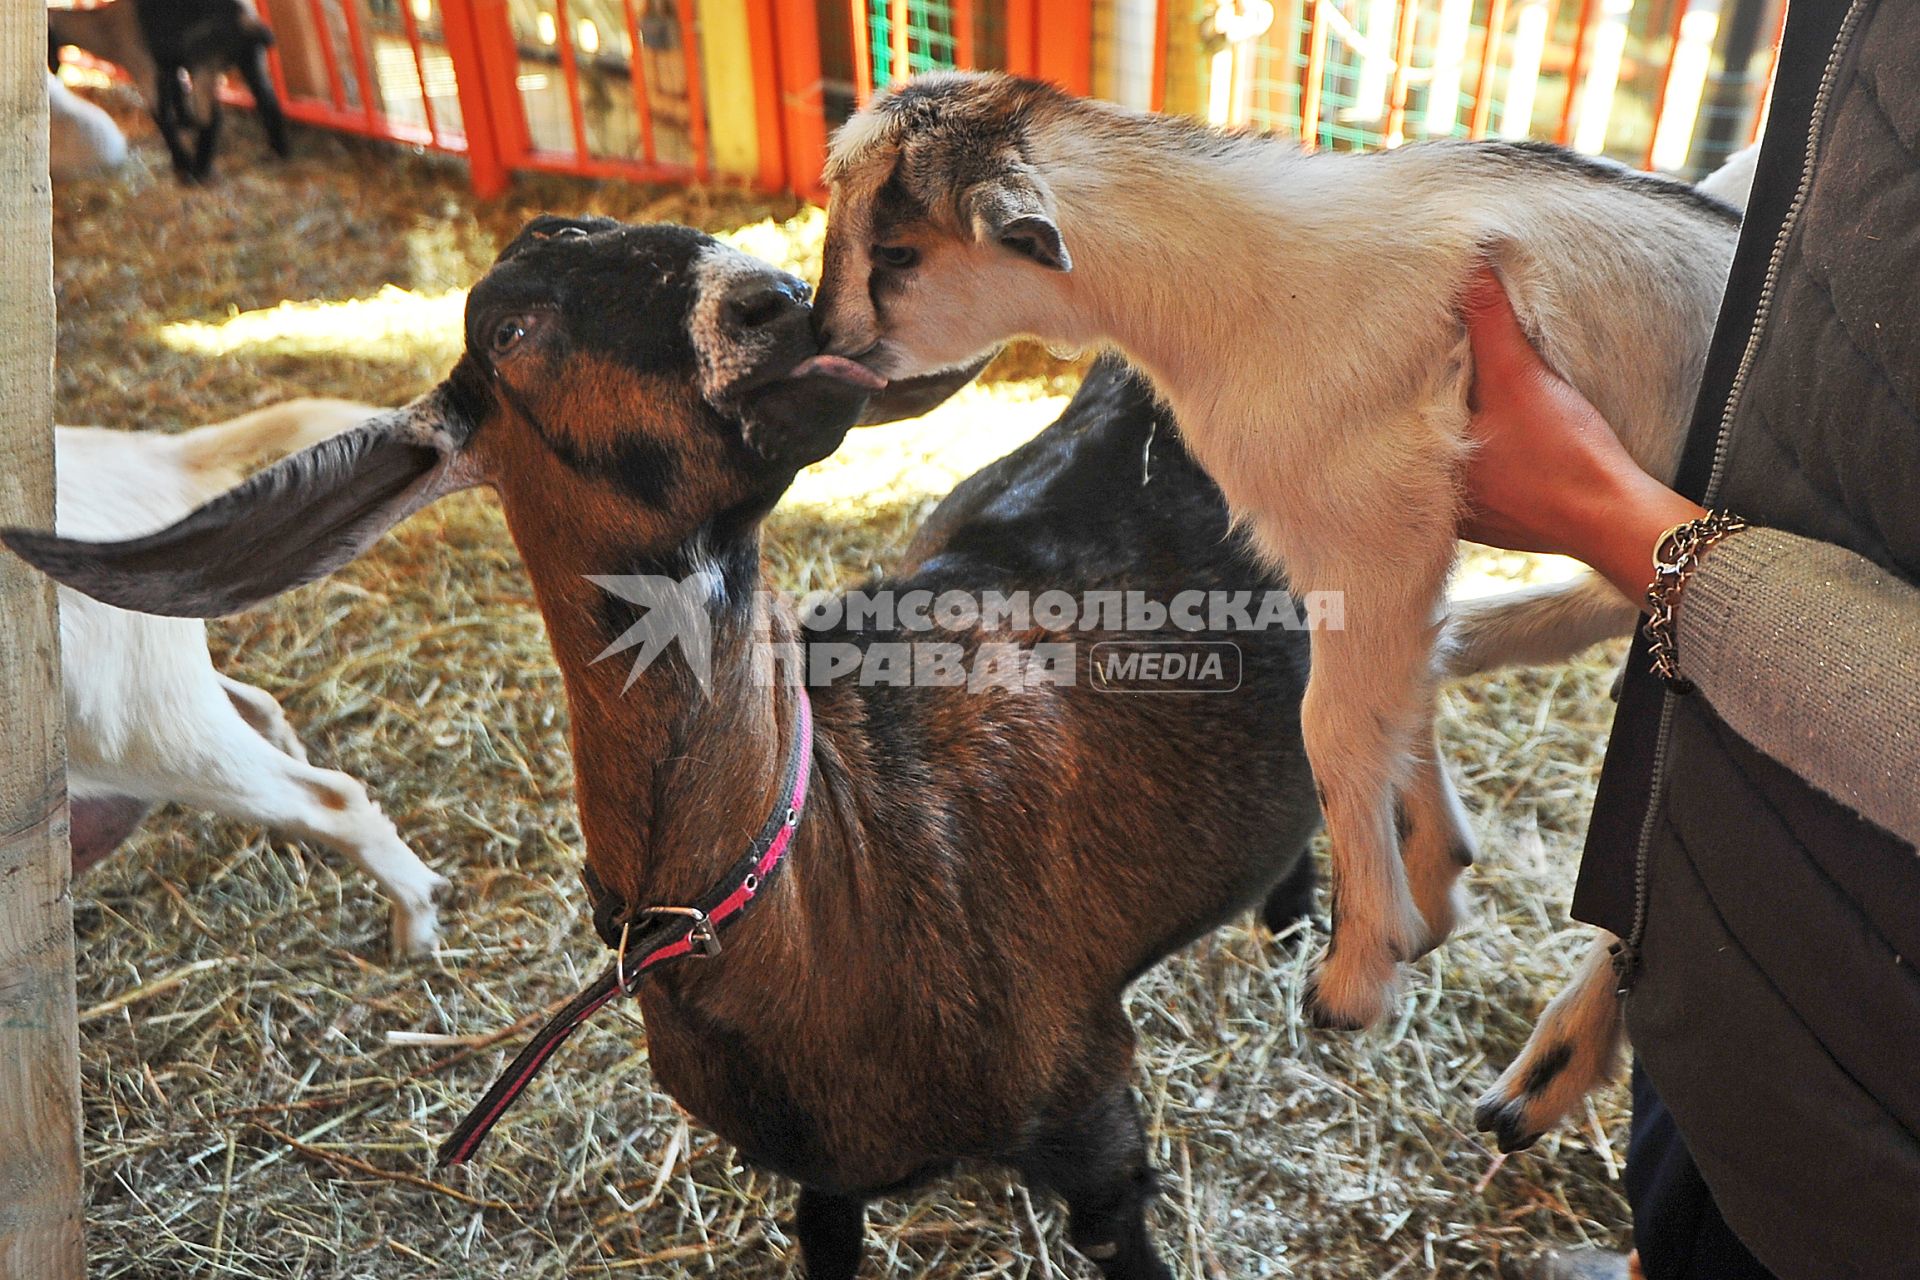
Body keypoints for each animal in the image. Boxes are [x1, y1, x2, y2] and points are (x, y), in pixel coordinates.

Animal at [817, 72, 1751, 1043]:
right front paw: (1433, 886)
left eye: (896, 251)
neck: (1243, 289)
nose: (826, 343)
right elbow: (1397, 701)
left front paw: (1358, 971)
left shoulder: (1376, 530)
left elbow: (1336, 727)